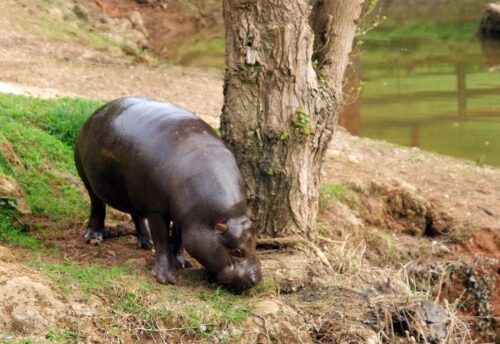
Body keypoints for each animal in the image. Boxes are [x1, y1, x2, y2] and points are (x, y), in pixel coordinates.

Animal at [75, 96, 262, 290]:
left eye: (256, 244)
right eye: (237, 251)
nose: (255, 280)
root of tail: (96, 112)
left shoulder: (185, 217)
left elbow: (179, 240)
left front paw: (181, 263)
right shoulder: (157, 210)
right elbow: (163, 241)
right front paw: (166, 277)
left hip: (134, 193)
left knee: (136, 215)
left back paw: (146, 243)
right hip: (88, 179)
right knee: (97, 206)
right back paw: (94, 238)